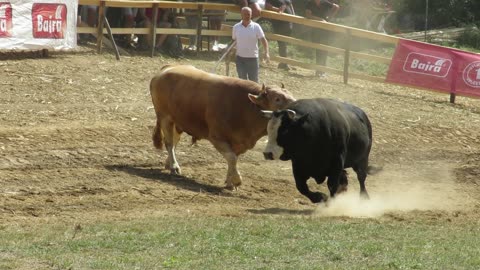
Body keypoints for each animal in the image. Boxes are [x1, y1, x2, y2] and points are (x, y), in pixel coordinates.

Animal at [149, 64, 296, 189]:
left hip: (178, 122)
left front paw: (229, 181)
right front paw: (236, 180)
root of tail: (166, 69)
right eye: (277, 99)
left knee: (174, 142)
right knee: (169, 143)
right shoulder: (216, 137)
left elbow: (233, 159)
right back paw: (174, 166)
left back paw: (169, 163)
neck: (246, 107)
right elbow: (232, 158)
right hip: (165, 118)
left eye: (291, 95)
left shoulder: (238, 142)